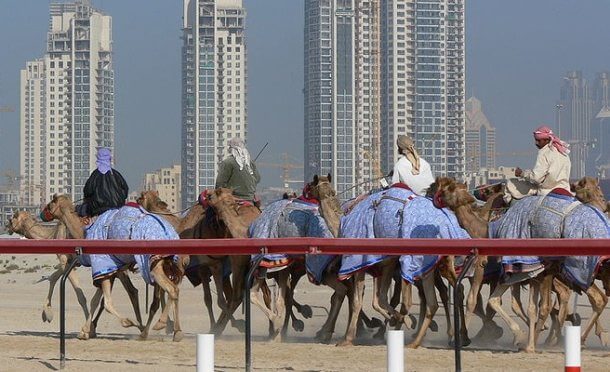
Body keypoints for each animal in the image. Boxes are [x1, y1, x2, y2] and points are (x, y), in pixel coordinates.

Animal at [44, 196, 184, 342]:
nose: (43, 213)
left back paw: (157, 325)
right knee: (163, 294)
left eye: (51, 203)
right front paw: (86, 331)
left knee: (170, 290)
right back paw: (171, 332)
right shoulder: (109, 270)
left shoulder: (103, 266)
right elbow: (96, 301)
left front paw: (127, 322)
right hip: (164, 264)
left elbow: (105, 302)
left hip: (153, 266)